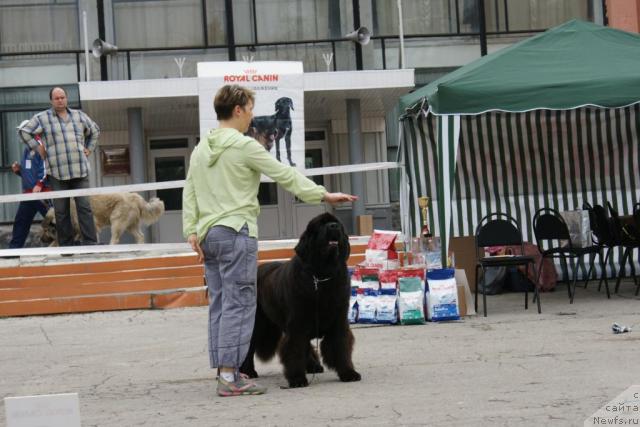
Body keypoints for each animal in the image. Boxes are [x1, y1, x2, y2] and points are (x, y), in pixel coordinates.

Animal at [240, 213, 360, 388]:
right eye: (320, 225)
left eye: (337, 222)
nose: (333, 226)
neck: (321, 276)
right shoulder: (298, 323)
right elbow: (295, 349)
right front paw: (297, 379)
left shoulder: (338, 321)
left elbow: (341, 347)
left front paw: (348, 373)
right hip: (258, 324)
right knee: (249, 347)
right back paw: (248, 372)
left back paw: (313, 366)